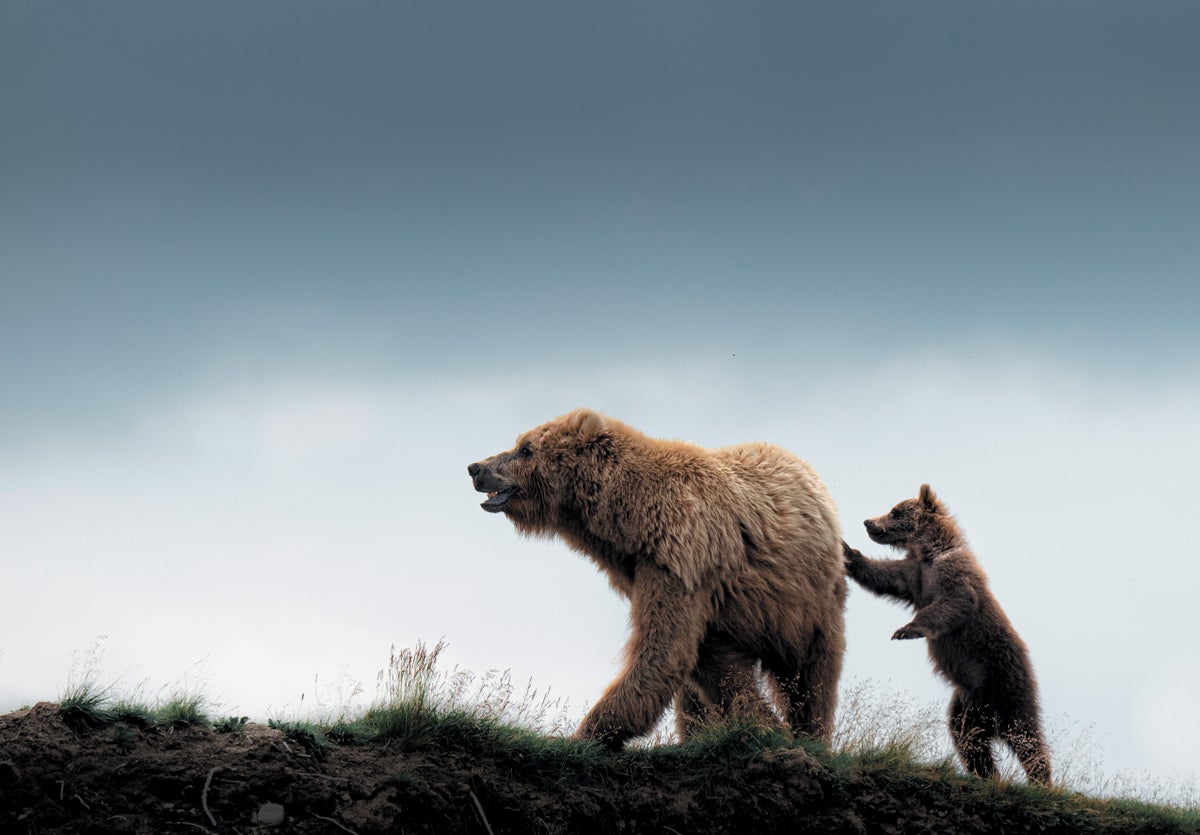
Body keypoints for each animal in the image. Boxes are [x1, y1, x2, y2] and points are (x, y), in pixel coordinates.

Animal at [463, 410, 849, 748]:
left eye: (525, 448)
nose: (475, 467)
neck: (630, 519)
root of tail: (808, 471)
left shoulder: (679, 560)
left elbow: (662, 651)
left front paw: (582, 734)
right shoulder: (651, 576)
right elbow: (707, 664)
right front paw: (755, 723)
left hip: (808, 599)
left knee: (811, 674)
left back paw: (812, 734)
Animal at [844, 487, 1051, 787]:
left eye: (895, 511)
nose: (868, 522)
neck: (929, 552)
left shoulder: (952, 573)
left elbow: (953, 602)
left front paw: (906, 630)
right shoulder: (914, 576)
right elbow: (883, 576)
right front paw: (847, 552)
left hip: (1004, 681)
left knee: (1025, 735)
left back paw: (1041, 780)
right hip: (968, 703)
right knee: (967, 738)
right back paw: (985, 774)